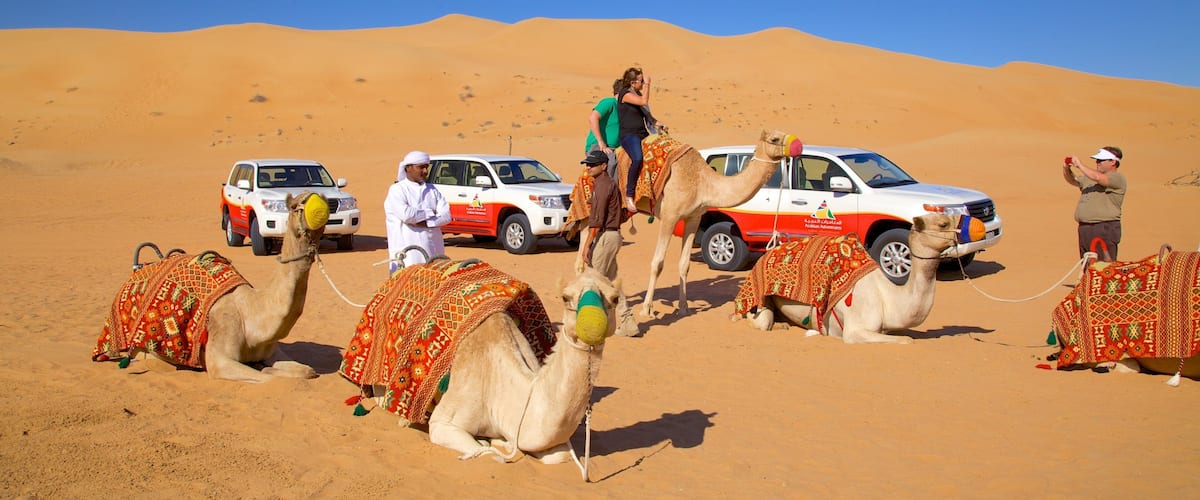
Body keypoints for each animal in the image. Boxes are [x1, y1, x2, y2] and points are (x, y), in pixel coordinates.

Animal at [94, 192, 326, 382]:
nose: (322, 204)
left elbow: (307, 371)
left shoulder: (272, 351)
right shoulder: (219, 359)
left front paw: (270, 367)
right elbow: (269, 379)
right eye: (295, 205)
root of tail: (136, 270)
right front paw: (266, 370)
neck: (251, 315)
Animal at [615, 129, 802, 318]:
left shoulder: (693, 217)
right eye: (774, 139)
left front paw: (684, 308)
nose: (798, 145)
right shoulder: (670, 215)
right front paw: (647, 310)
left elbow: (684, 264)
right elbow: (657, 263)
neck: (702, 183)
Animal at [740, 213, 985, 344]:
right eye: (943, 223)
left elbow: (905, 335)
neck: (889, 299)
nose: (978, 225)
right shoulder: (856, 329)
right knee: (760, 322)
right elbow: (907, 340)